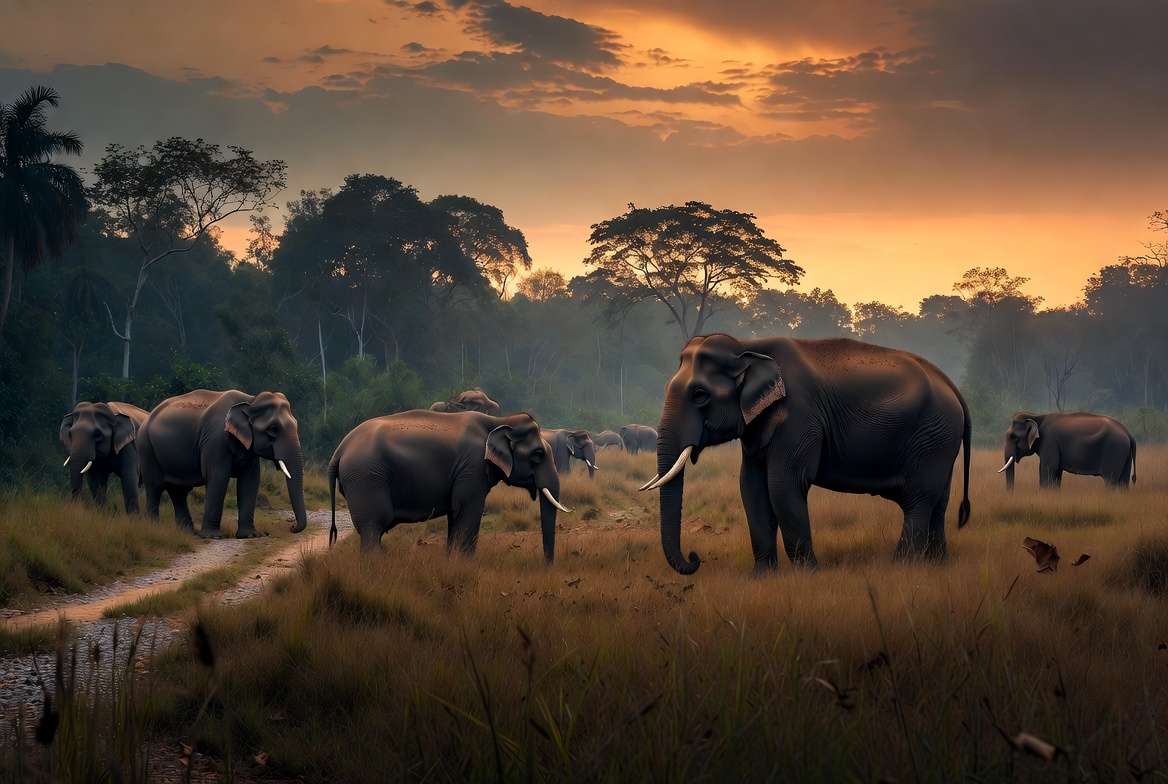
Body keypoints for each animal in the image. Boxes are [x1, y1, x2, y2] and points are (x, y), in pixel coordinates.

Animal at [137, 389, 308, 538]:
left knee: (178, 492)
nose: (291, 526)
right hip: (146, 448)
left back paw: (187, 533)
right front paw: (213, 536)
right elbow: (218, 477)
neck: (250, 400)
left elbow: (250, 480)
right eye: (273, 429)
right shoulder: (214, 440)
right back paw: (154, 529)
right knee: (154, 487)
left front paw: (250, 536)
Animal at [327, 410, 571, 561]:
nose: (546, 565)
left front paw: (451, 561)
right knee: (373, 526)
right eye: (538, 454)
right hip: (366, 477)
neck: (497, 421)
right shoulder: (471, 467)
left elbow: (456, 514)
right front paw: (465, 564)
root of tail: (339, 450)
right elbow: (468, 511)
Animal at [643, 334, 971, 575]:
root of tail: (952, 387)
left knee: (919, 501)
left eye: (700, 395)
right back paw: (937, 565)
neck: (748, 348)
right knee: (938, 501)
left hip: (933, 436)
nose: (695, 558)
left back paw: (900, 567)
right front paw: (763, 577)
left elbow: (783, 486)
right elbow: (751, 487)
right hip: (938, 442)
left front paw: (809, 574)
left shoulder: (800, 418)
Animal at [999, 411, 1136, 489]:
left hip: (1114, 450)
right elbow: (1056, 472)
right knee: (1123, 482)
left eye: (1013, 436)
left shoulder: (1049, 442)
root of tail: (1129, 433)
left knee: (1111, 480)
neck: (1036, 417)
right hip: (1125, 455)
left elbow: (1047, 469)